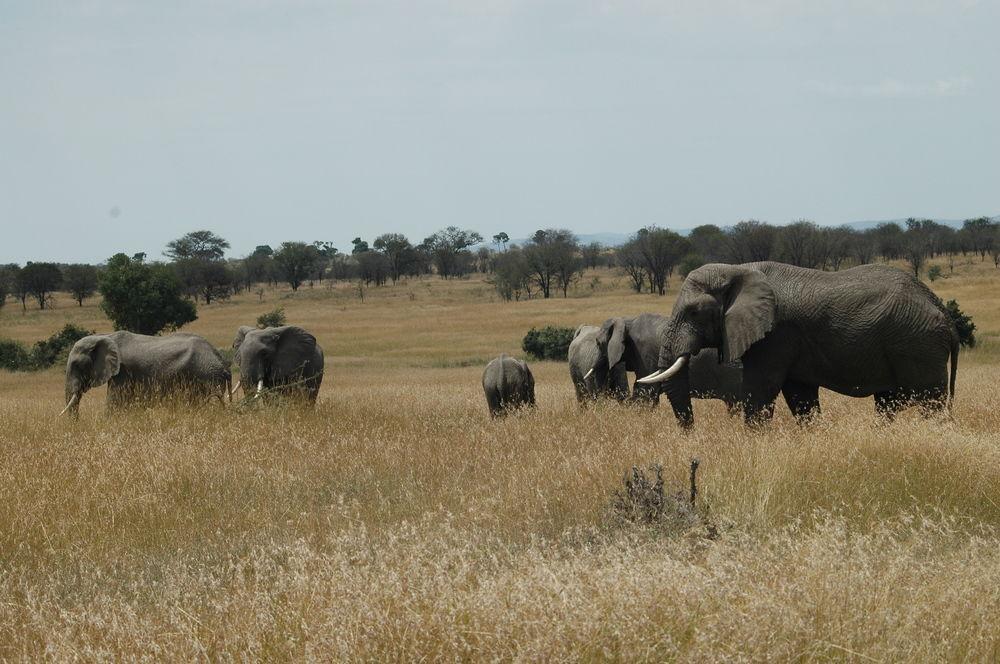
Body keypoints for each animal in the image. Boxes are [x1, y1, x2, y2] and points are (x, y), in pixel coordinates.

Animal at [63, 330, 232, 418]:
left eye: (77, 365)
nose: (76, 424)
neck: (105, 336)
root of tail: (222, 362)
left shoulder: (123, 372)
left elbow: (114, 404)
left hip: (207, 376)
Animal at [636, 262, 956, 428]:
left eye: (694, 312)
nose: (690, 433)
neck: (739, 271)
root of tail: (942, 311)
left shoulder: (776, 335)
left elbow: (760, 391)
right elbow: (800, 398)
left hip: (918, 344)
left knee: (930, 401)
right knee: (888, 403)